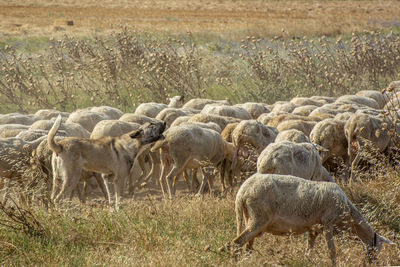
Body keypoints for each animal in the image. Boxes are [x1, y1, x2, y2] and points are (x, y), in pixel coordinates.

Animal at [228, 174, 394, 266]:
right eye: (377, 248)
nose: (374, 263)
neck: (349, 217)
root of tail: (241, 193)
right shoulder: (328, 223)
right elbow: (332, 251)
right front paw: (334, 264)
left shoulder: (314, 229)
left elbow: (309, 251)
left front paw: (306, 261)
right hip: (258, 218)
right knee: (236, 243)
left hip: (249, 218)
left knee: (247, 247)